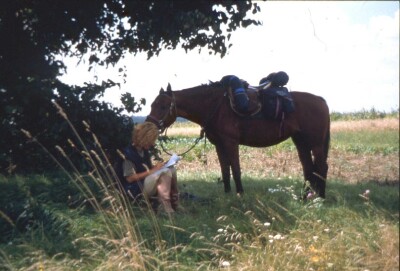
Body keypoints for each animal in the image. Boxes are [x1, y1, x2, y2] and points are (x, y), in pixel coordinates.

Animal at [145, 82, 330, 199]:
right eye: (152, 105)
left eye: (163, 106)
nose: (149, 125)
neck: (216, 107)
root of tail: (321, 100)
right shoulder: (219, 145)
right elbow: (225, 170)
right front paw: (227, 194)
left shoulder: (230, 143)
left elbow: (236, 169)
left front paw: (240, 194)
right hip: (301, 142)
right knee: (308, 168)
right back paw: (304, 197)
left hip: (316, 144)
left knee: (321, 167)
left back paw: (320, 197)